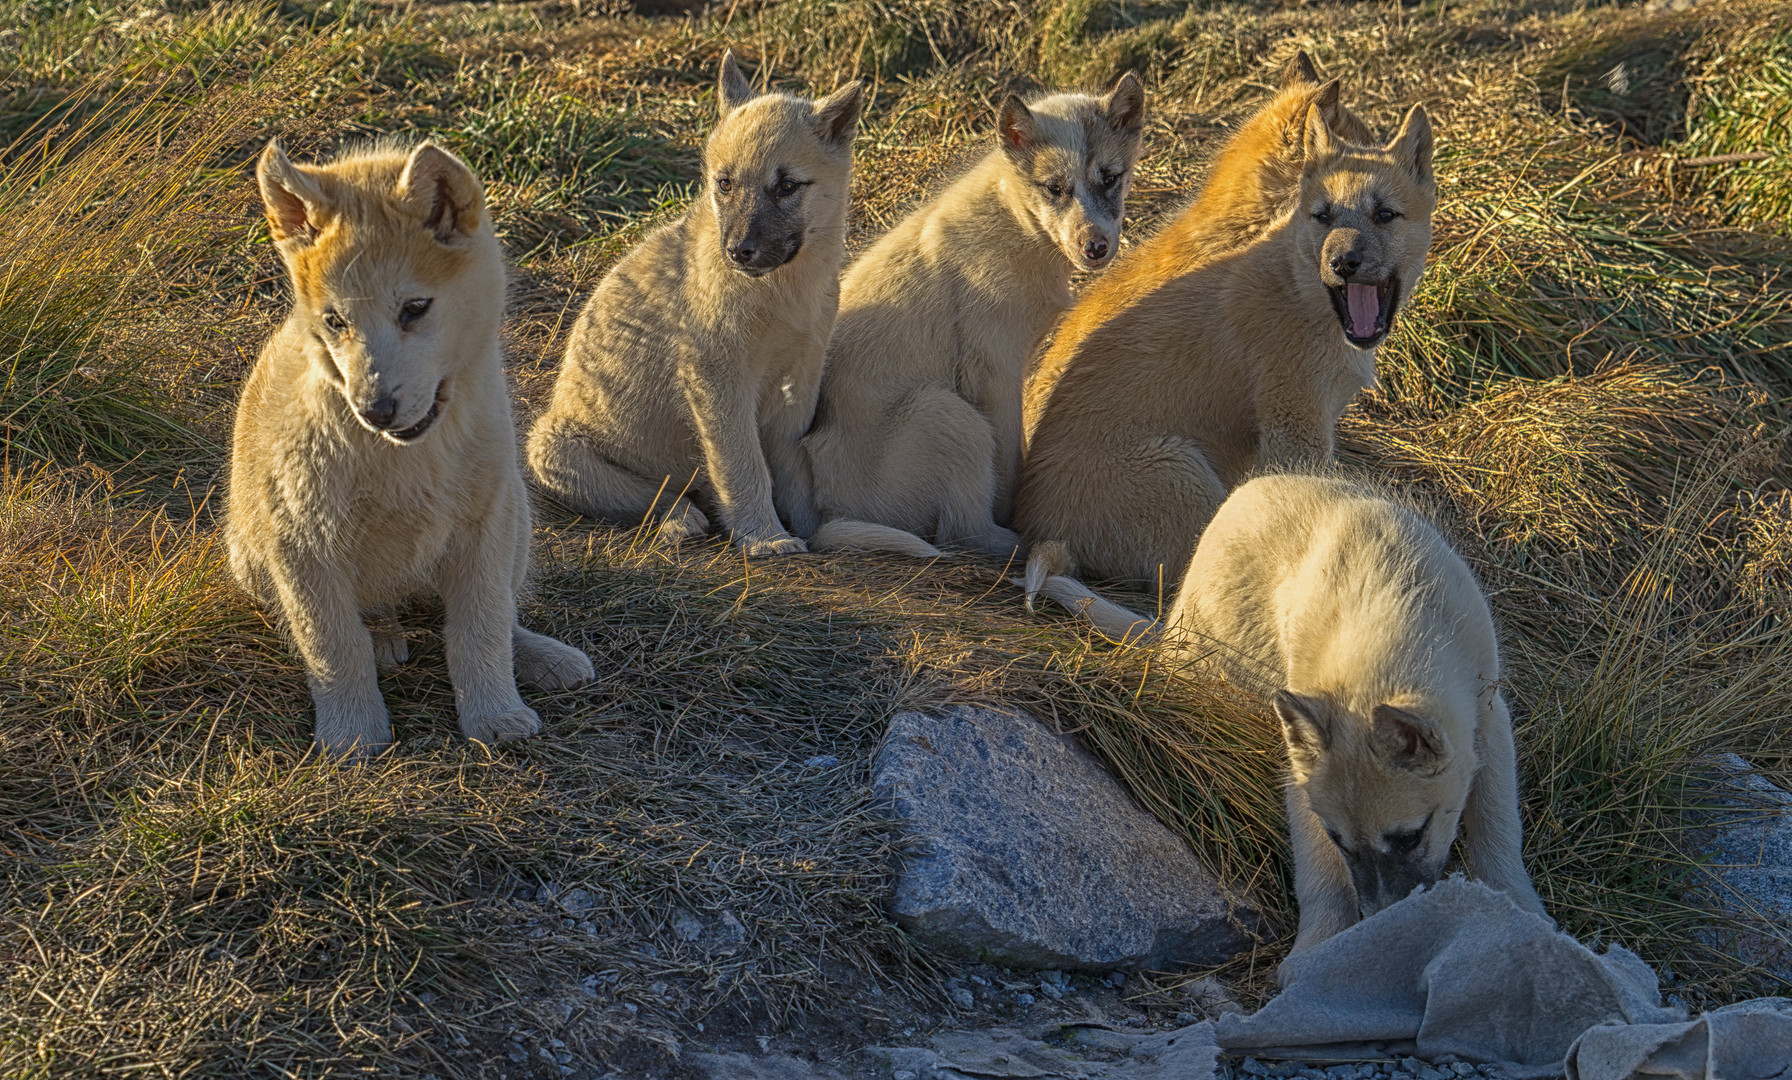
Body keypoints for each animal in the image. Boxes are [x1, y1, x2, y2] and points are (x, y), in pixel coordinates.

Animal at [225, 139, 594, 759]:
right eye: (334, 321)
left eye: (415, 309)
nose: (374, 409)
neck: (402, 458)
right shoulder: (299, 540)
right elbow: (332, 644)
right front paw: (353, 732)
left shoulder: (484, 524)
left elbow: (482, 627)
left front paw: (495, 715)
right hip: (250, 556)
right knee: (366, 617)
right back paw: (383, 638)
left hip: (517, 514)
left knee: (503, 612)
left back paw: (545, 655)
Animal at [526, 53, 863, 555]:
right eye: (724, 184)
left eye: (786, 186)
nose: (738, 251)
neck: (782, 290)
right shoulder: (716, 378)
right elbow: (745, 468)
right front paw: (765, 539)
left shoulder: (798, 381)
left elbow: (792, 473)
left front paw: (805, 530)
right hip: (551, 449)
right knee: (659, 495)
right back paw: (680, 521)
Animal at [802, 76, 1146, 558]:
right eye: (1054, 189)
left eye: (1110, 178)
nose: (1095, 248)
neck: (1016, 219)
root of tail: (828, 515)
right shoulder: (993, 369)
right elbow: (1009, 461)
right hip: (950, 414)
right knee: (963, 531)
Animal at [1032, 472, 1548, 960]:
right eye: (1340, 839)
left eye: (1409, 838)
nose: (1383, 923)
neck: (1384, 611)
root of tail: (1170, 628)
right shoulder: (1299, 769)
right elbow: (1320, 869)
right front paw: (1318, 945)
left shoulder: (1489, 718)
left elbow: (1497, 826)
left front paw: (1520, 907)